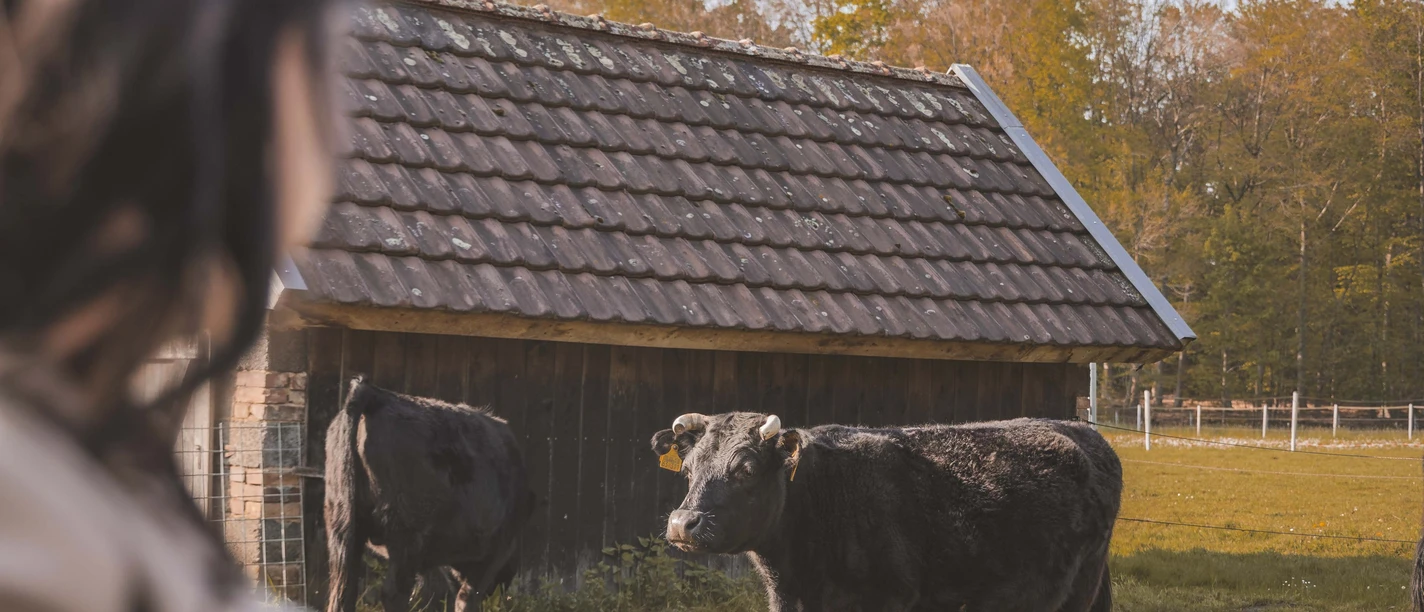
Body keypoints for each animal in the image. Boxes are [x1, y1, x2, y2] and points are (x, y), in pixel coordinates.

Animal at [325, 376, 534, 612]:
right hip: (406, 535)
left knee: (343, 591)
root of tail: (376, 394)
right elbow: (467, 597)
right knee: (393, 592)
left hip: (342, 529)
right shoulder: (494, 552)